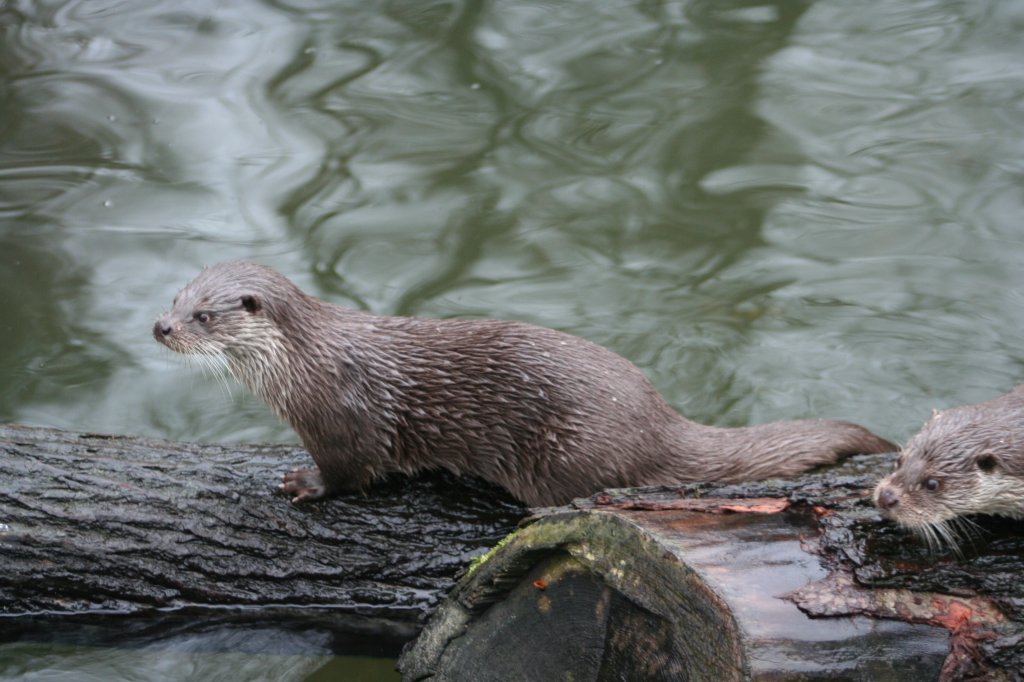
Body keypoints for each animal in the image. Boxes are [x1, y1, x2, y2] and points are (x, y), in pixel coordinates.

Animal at [153, 260, 897, 503]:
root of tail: (661, 421)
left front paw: (301, 483)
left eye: (203, 314)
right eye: (175, 295)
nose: (161, 327)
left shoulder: (344, 420)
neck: (304, 367)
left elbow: (348, 473)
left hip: (568, 451)